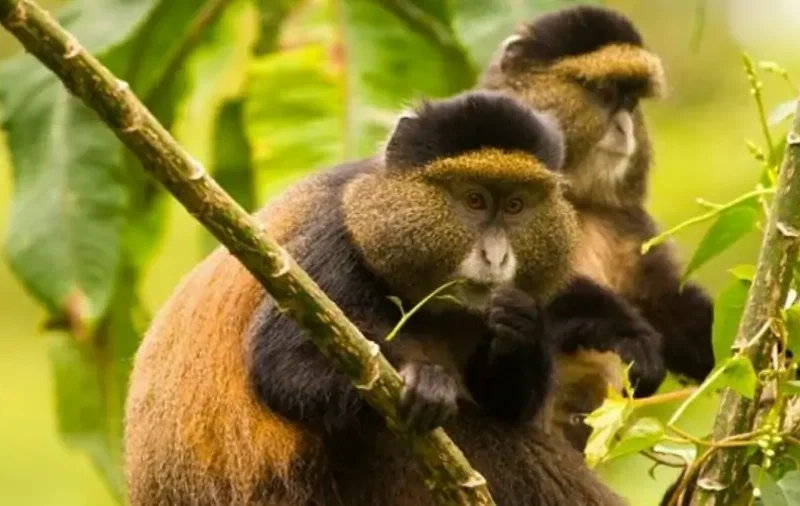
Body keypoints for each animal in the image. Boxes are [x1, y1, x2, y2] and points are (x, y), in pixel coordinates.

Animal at [124, 90, 630, 505]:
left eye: (515, 205)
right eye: (473, 200)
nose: (496, 256)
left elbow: (510, 403)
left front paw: (520, 326)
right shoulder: (328, 247)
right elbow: (283, 367)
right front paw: (426, 381)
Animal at [480, 5, 715, 449]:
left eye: (631, 100)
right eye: (605, 93)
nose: (624, 128)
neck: (577, 200)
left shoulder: (627, 223)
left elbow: (666, 299)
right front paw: (625, 332)